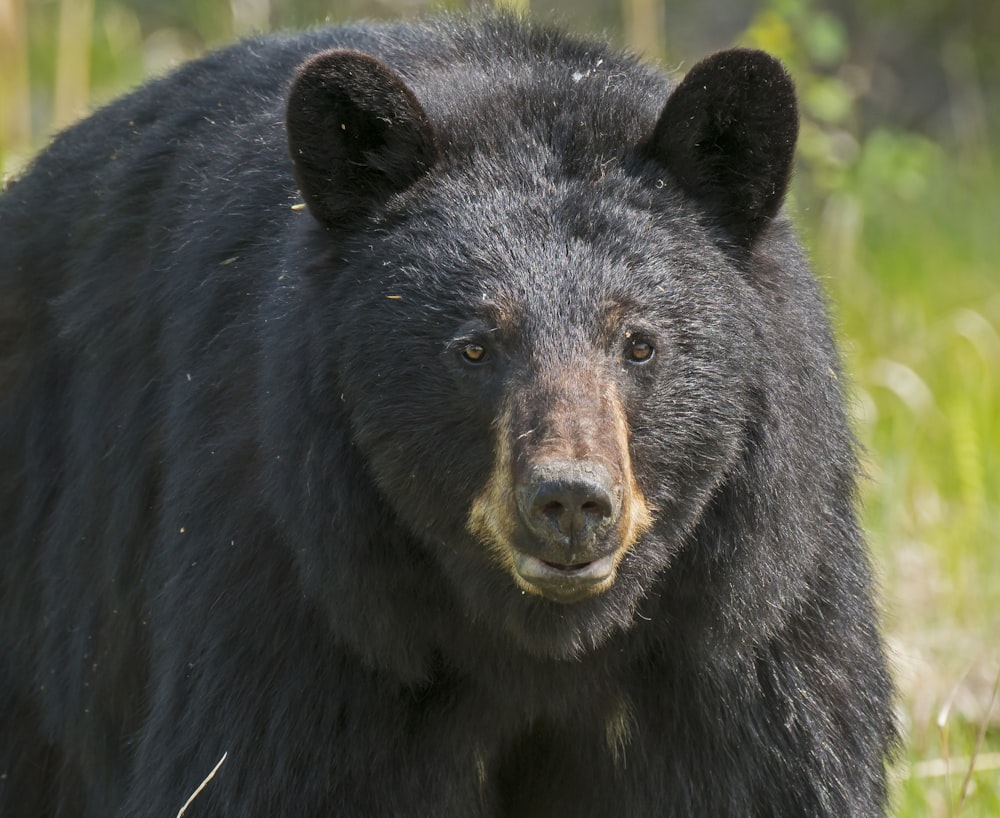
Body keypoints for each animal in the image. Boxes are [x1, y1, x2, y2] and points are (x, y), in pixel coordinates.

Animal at [0, 12, 892, 816]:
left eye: (639, 344)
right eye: (474, 347)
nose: (571, 501)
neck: (540, 642)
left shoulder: (745, 630)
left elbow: (776, 773)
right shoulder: (303, 594)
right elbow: (253, 772)